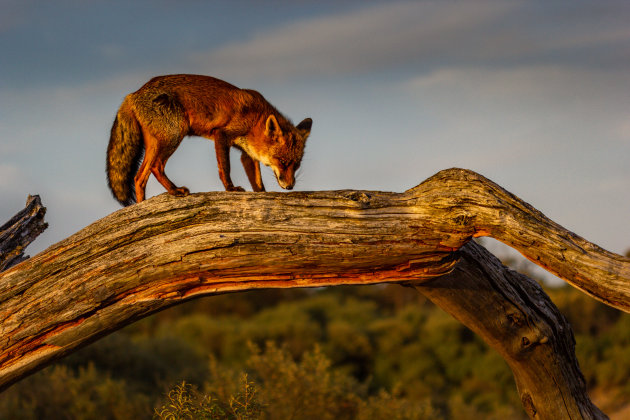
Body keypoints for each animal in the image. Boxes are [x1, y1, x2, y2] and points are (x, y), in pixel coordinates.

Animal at [107, 76, 314, 208]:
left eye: (296, 165)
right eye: (283, 162)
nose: (290, 187)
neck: (255, 118)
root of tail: (133, 94)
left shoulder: (247, 155)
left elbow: (257, 181)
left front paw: (261, 195)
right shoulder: (221, 135)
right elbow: (225, 169)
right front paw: (231, 189)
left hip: (156, 144)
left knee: (138, 177)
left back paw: (140, 207)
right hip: (174, 134)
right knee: (156, 167)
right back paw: (174, 191)